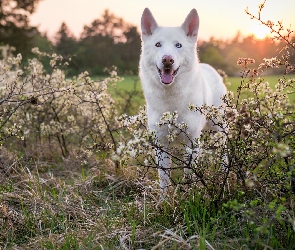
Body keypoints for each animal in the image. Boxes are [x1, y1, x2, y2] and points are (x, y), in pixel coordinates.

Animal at [140, 7, 228, 191]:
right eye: (158, 44)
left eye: (178, 45)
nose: (167, 59)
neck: (170, 100)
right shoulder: (161, 143)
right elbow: (164, 180)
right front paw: (165, 198)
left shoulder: (192, 141)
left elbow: (189, 176)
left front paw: (189, 194)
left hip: (219, 127)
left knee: (224, 151)